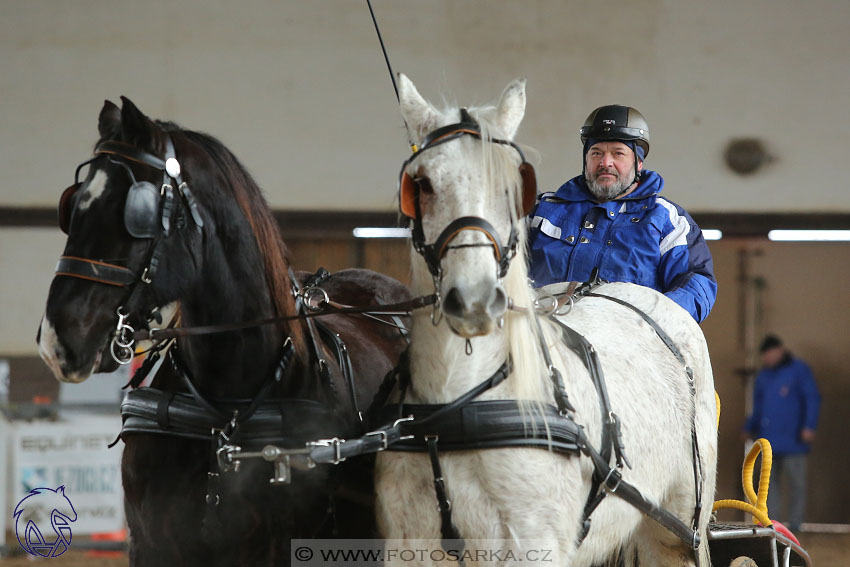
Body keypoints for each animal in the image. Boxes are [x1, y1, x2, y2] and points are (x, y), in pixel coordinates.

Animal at [374, 75, 712, 567]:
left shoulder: (535, 544)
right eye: (423, 185)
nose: (474, 300)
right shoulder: (407, 542)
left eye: (513, 189)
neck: (463, 403)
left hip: (677, 530)